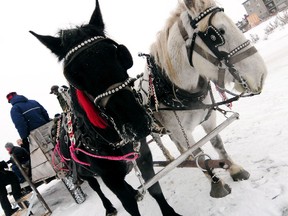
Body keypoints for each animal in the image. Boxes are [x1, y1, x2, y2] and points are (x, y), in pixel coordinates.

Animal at [30, 0, 181, 215]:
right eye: (73, 75)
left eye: (120, 54)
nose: (137, 122)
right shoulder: (109, 177)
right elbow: (128, 204)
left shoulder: (143, 155)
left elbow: (154, 188)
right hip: (82, 173)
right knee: (96, 187)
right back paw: (109, 206)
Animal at [138, 0, 268, 198]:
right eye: (218, 33)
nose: (261, 74)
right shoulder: (181, 131)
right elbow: (198, 154)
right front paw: (216, 183)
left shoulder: (208, 118)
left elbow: (216, 142)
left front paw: (234, 169)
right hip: (152, 131)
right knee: (158, 142)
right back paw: (170, 158)